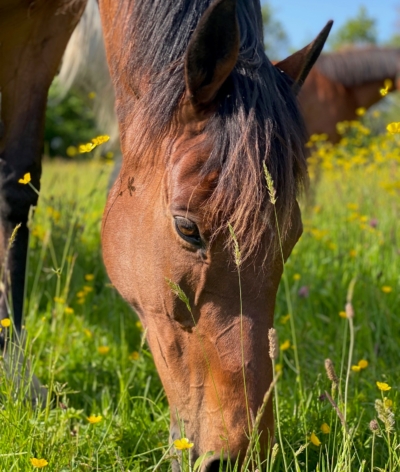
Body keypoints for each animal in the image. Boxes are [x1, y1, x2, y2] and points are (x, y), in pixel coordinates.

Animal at [0, 0, 332, 468]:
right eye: (187, 228)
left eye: (293, 235)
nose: (237, 459)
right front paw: (18, 378)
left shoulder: (43, 29)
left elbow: (17, 185)